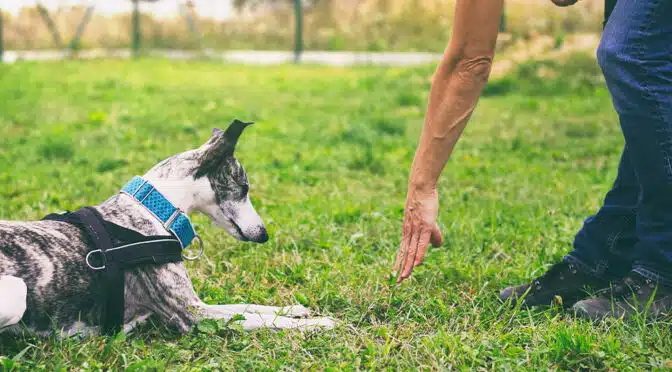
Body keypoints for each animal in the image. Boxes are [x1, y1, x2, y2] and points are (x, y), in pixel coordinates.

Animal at [0, 120, 336, 338]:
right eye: (244, 188)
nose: (263, 234)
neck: (152, 209)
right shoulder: (192, 315)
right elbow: (260, 320)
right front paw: (319, 324)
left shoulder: (198, 304)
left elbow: (248, 306)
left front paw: (294, 309)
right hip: (18, 292)